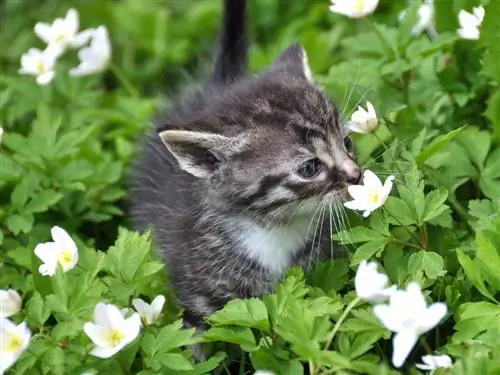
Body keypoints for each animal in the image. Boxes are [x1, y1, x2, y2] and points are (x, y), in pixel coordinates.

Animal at [131, 0, 362, 356]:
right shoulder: (197, 294)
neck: (273, 231)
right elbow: (194, 346)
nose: (356, 175)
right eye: (310, 168)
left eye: (347, 143)